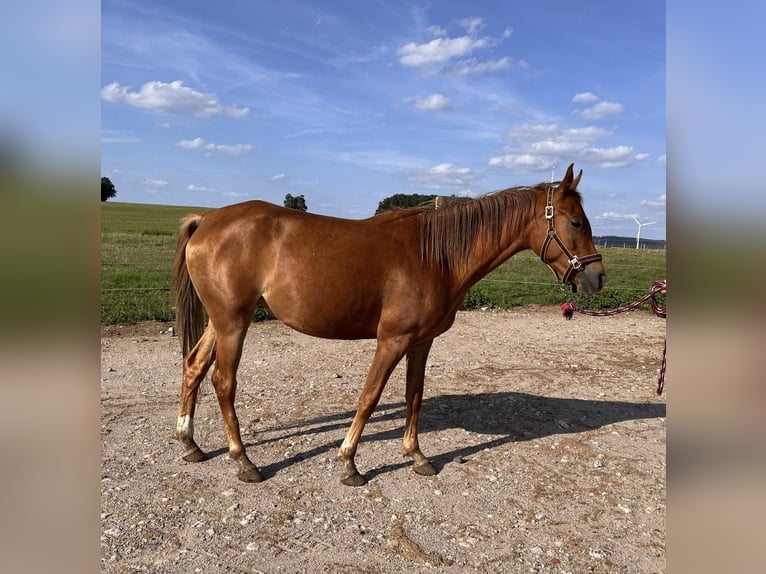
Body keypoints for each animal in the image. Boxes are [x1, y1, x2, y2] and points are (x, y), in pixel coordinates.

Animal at [172, 164, 608, 488]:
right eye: (575, 222)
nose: (598, 277)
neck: (435, 256)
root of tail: (206, 220)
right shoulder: (392, 340)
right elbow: (370, 397)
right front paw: (349, 463)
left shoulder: (421, 342)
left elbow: (414, 396)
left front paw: (416, 456)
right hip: (233, 322)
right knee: (223, 382)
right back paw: (244, 461)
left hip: (222, 321)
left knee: (194, 367)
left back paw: (190, 444)